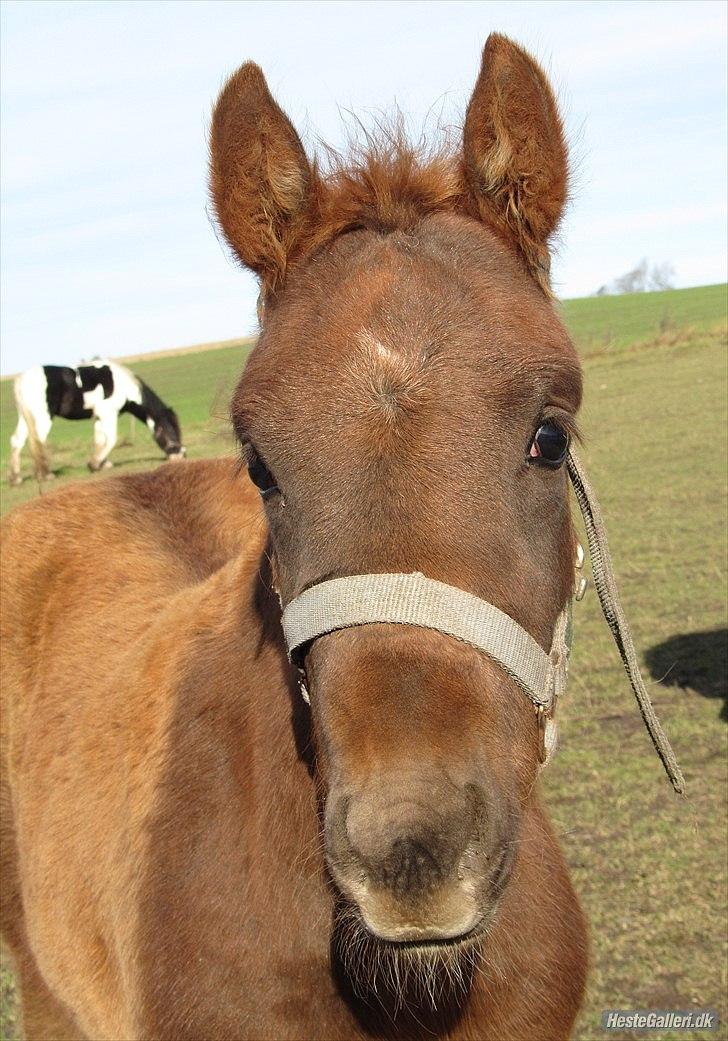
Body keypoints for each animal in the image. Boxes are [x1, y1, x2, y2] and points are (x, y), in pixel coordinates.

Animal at [8, 360, 185, 485]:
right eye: (171, 431)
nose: (181, 455)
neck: (124, 385)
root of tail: (20, 380)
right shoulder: (109, 414)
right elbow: (111, 439)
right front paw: (94, 464)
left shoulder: (99, 417)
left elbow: (100, 440)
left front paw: (102, 464)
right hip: (42, 418)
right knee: (38, 442)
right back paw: (46, 474)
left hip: (25, 418)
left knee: (17, 442)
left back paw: (16, 479)